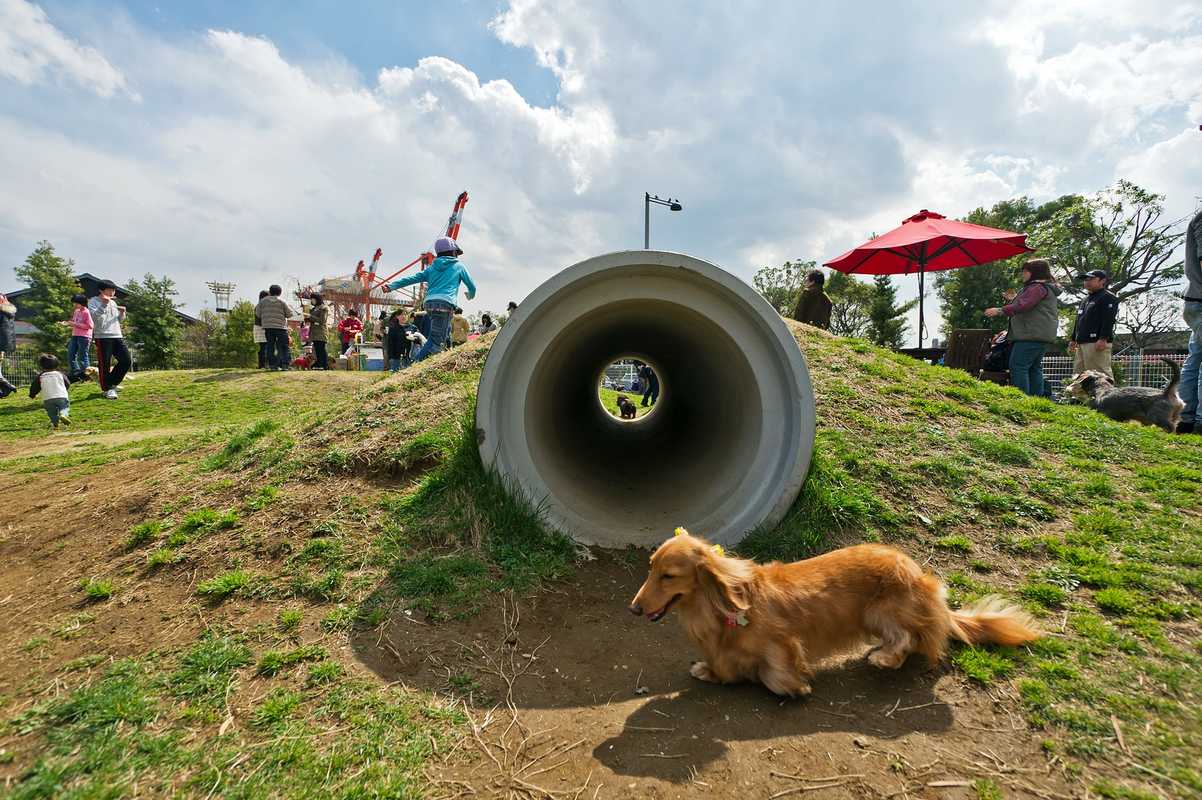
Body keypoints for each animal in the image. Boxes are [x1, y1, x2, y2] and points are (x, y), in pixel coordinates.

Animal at [629, 528, 1043, 691]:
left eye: (668, 576)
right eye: (649, 568)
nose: (633, 609)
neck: (718, 608)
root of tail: (919, 574)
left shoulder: (782, 641)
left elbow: (776, 671)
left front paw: (795, 685)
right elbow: (725, 668)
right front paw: (709, 671)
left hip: (880, 612)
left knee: (910, 638)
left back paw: (884, 657)